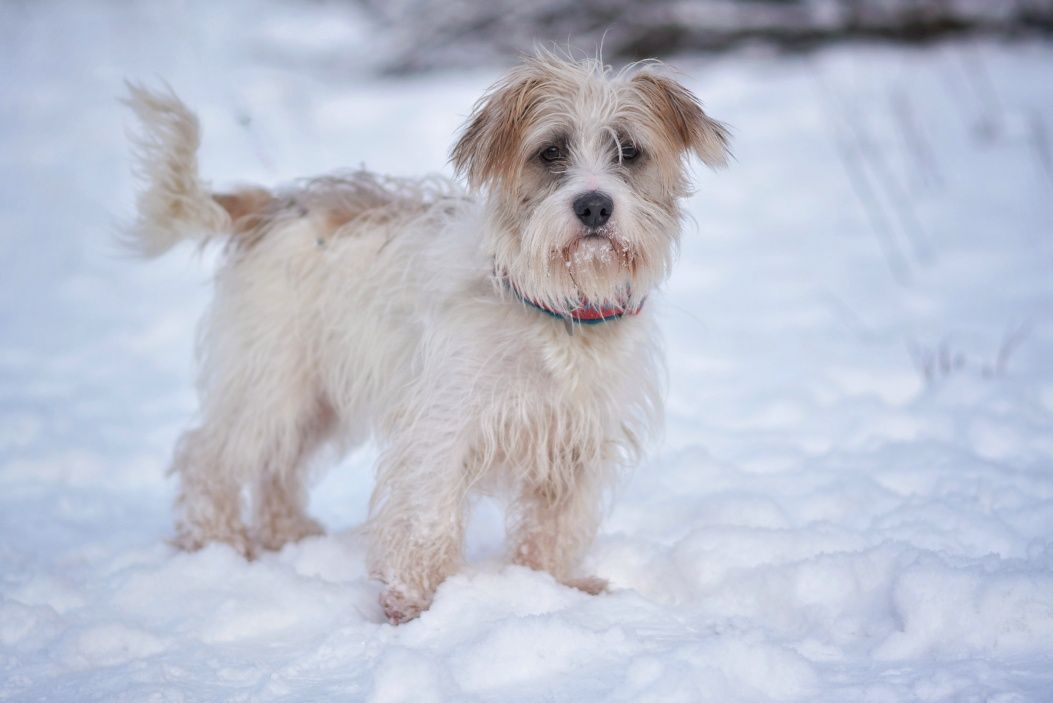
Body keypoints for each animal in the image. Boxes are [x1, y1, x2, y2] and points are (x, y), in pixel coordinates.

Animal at [125, 50, 724, 618]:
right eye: (551, 151)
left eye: (629, 151)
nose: (594, 205)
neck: (554, 311)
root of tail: (271, 205)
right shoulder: (443, 425)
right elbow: (427, 516)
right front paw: (413, 601)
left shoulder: (574, 440)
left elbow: (554, 525)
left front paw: (550, 585)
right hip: (270, 381)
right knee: (210, 456)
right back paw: (216, 543)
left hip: (314, 397)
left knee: (280, 463)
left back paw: (287, 535)